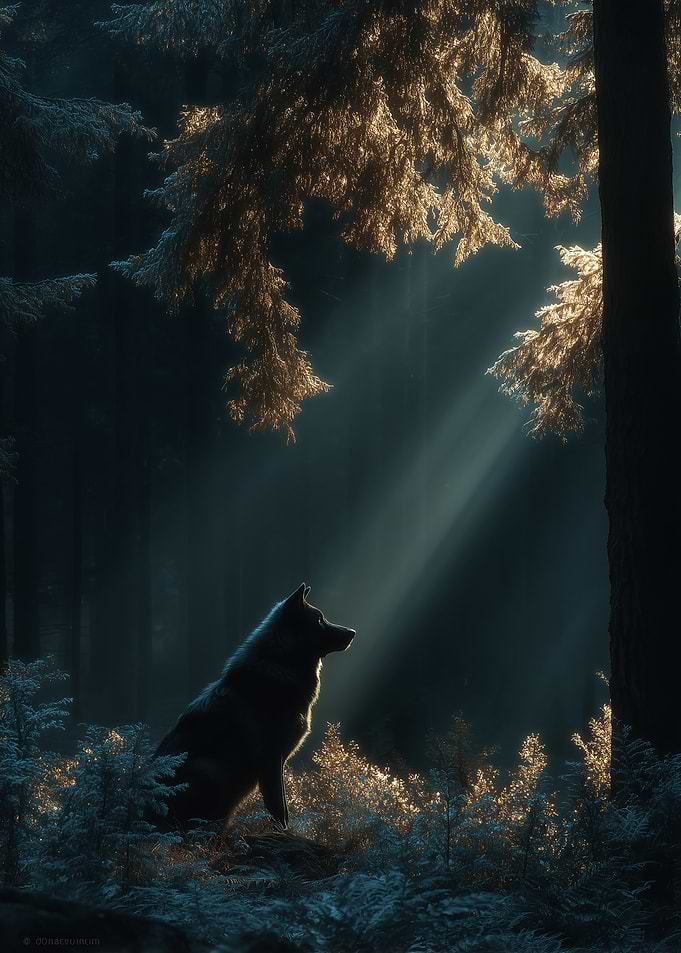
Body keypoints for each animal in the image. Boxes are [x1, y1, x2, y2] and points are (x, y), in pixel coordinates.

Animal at [152, 584, 355, 831]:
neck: (280, 666)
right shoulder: (272, 758)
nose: (353, 632)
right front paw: (283, 832)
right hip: (211, 772)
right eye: (319, 620)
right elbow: (279, 807)